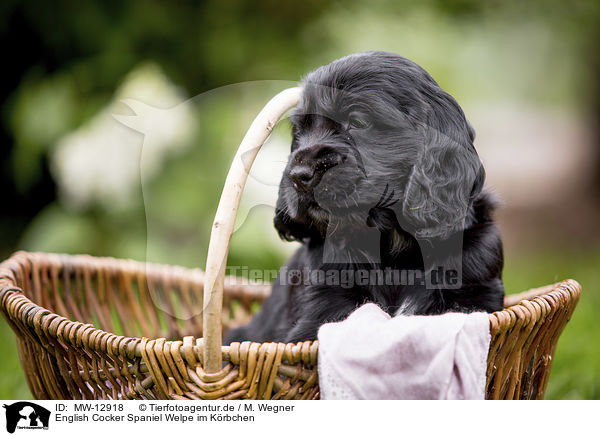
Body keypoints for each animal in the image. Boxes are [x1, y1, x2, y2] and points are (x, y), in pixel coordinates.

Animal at [225, 51, 506, 344]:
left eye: (358, 122)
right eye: (299, 130)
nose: (299, 176)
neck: (392, 245)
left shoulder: (473, 287)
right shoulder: (321, 311)